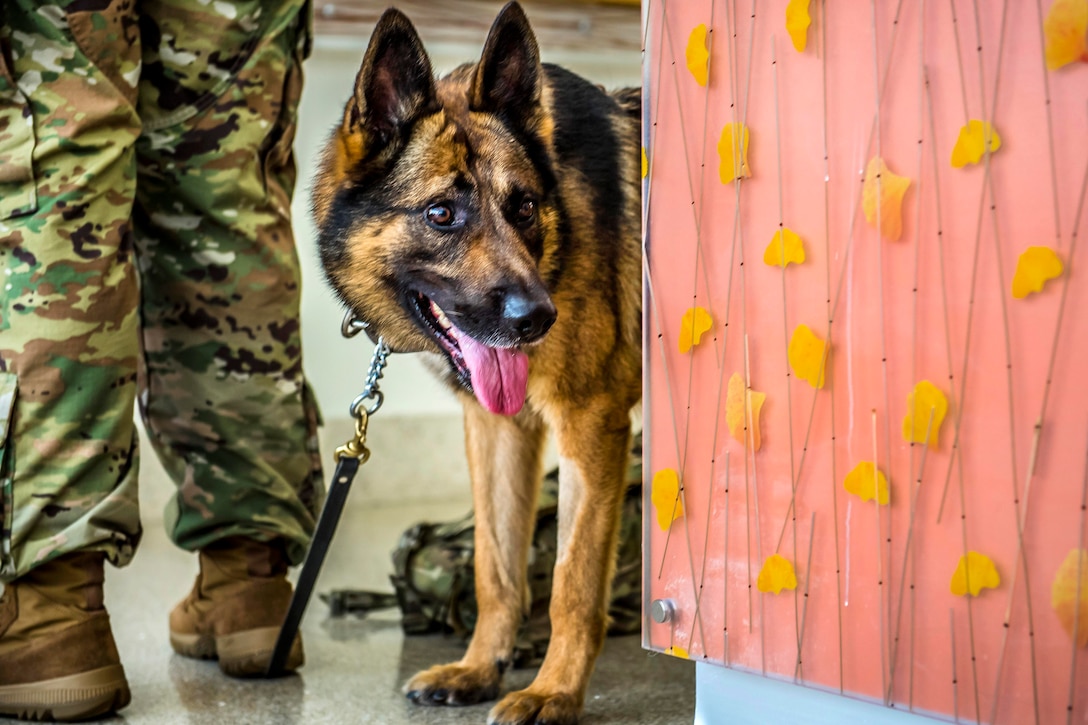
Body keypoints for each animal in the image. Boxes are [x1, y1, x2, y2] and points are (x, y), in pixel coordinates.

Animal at [311, 2, 639, 718]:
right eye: (441, 213)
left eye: (525, 207)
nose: (535, 318)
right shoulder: (497, 426)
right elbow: (497, 568)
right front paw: (480, 667)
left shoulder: (591, 424)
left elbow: (572, 582)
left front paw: (553, 690)